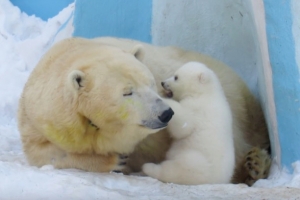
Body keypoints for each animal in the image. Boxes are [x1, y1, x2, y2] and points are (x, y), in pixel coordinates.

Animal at [18, 36, 270, 185]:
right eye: (127, 92)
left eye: (150, 83)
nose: (165, 113)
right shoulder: (43, 118)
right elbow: (45, 153)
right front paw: (115, 161)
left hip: (238, 102)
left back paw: (255, 164)